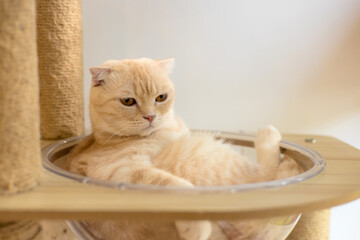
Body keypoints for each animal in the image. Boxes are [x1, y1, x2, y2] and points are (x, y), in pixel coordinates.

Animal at [67, 57, 300, 239]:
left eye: (161, 97)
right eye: (127, 101)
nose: (150, 116)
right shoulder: (121, 172)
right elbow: (177, 187)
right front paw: (196, 227)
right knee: (268, 173)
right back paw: (267, 135)